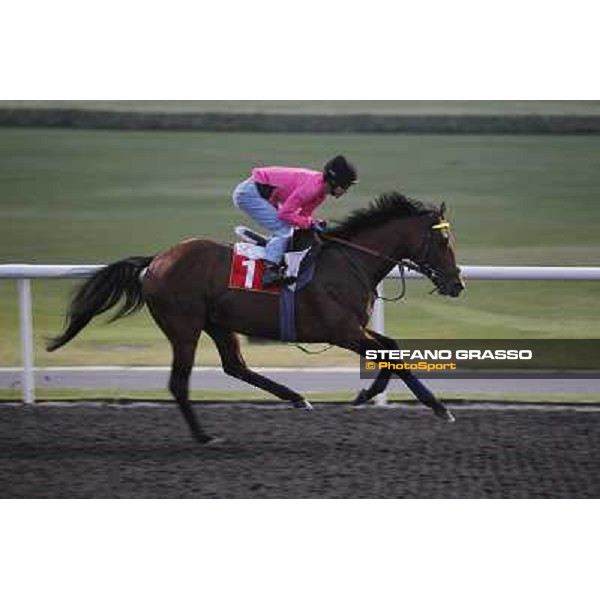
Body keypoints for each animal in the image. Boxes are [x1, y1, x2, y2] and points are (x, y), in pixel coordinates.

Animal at [49, 190, 466, 442]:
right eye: (443, 240)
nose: (457, 283)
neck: (350, 261)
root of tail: (156, 261)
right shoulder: (341, 331)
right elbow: (390, 354)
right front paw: (438, 407)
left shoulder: (354, 328)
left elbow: (391, 347)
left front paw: (368, 392)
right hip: (184, 326)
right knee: (180, 383)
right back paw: (204, 436)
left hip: (218, 324)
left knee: (235, 366)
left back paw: (296, 397)